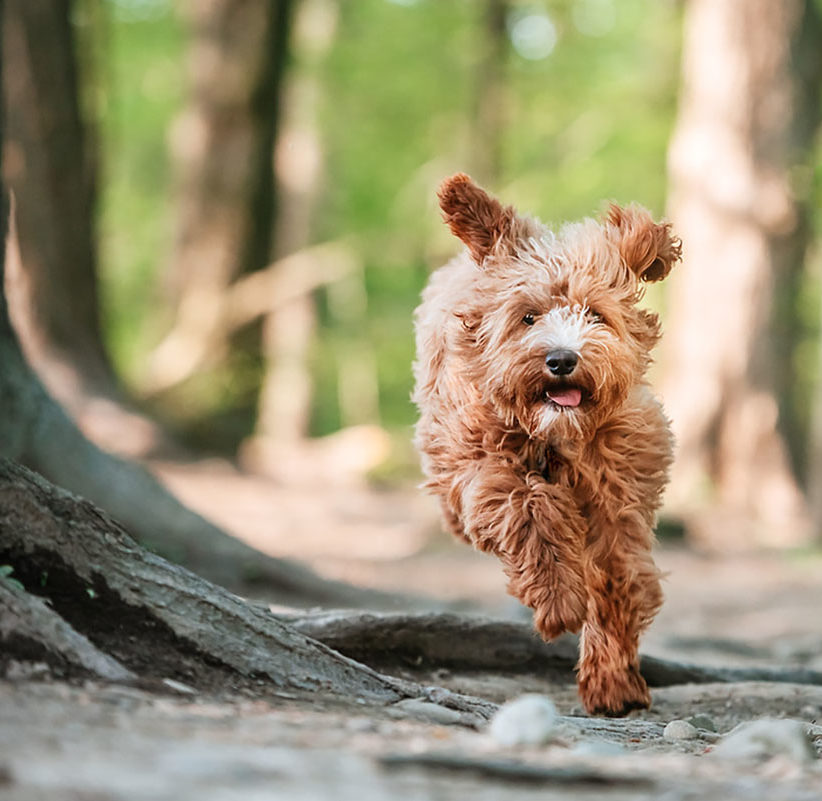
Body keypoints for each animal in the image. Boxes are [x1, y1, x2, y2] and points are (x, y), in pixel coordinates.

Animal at [412, 173, 684, 712]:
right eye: (529, 317)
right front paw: (558, 601)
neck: (558, 437)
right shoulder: (482, 464)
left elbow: (618, 577)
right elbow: (529, 508)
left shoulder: (620, 495)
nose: (561, 359)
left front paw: (612, 679)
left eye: (596, 315)